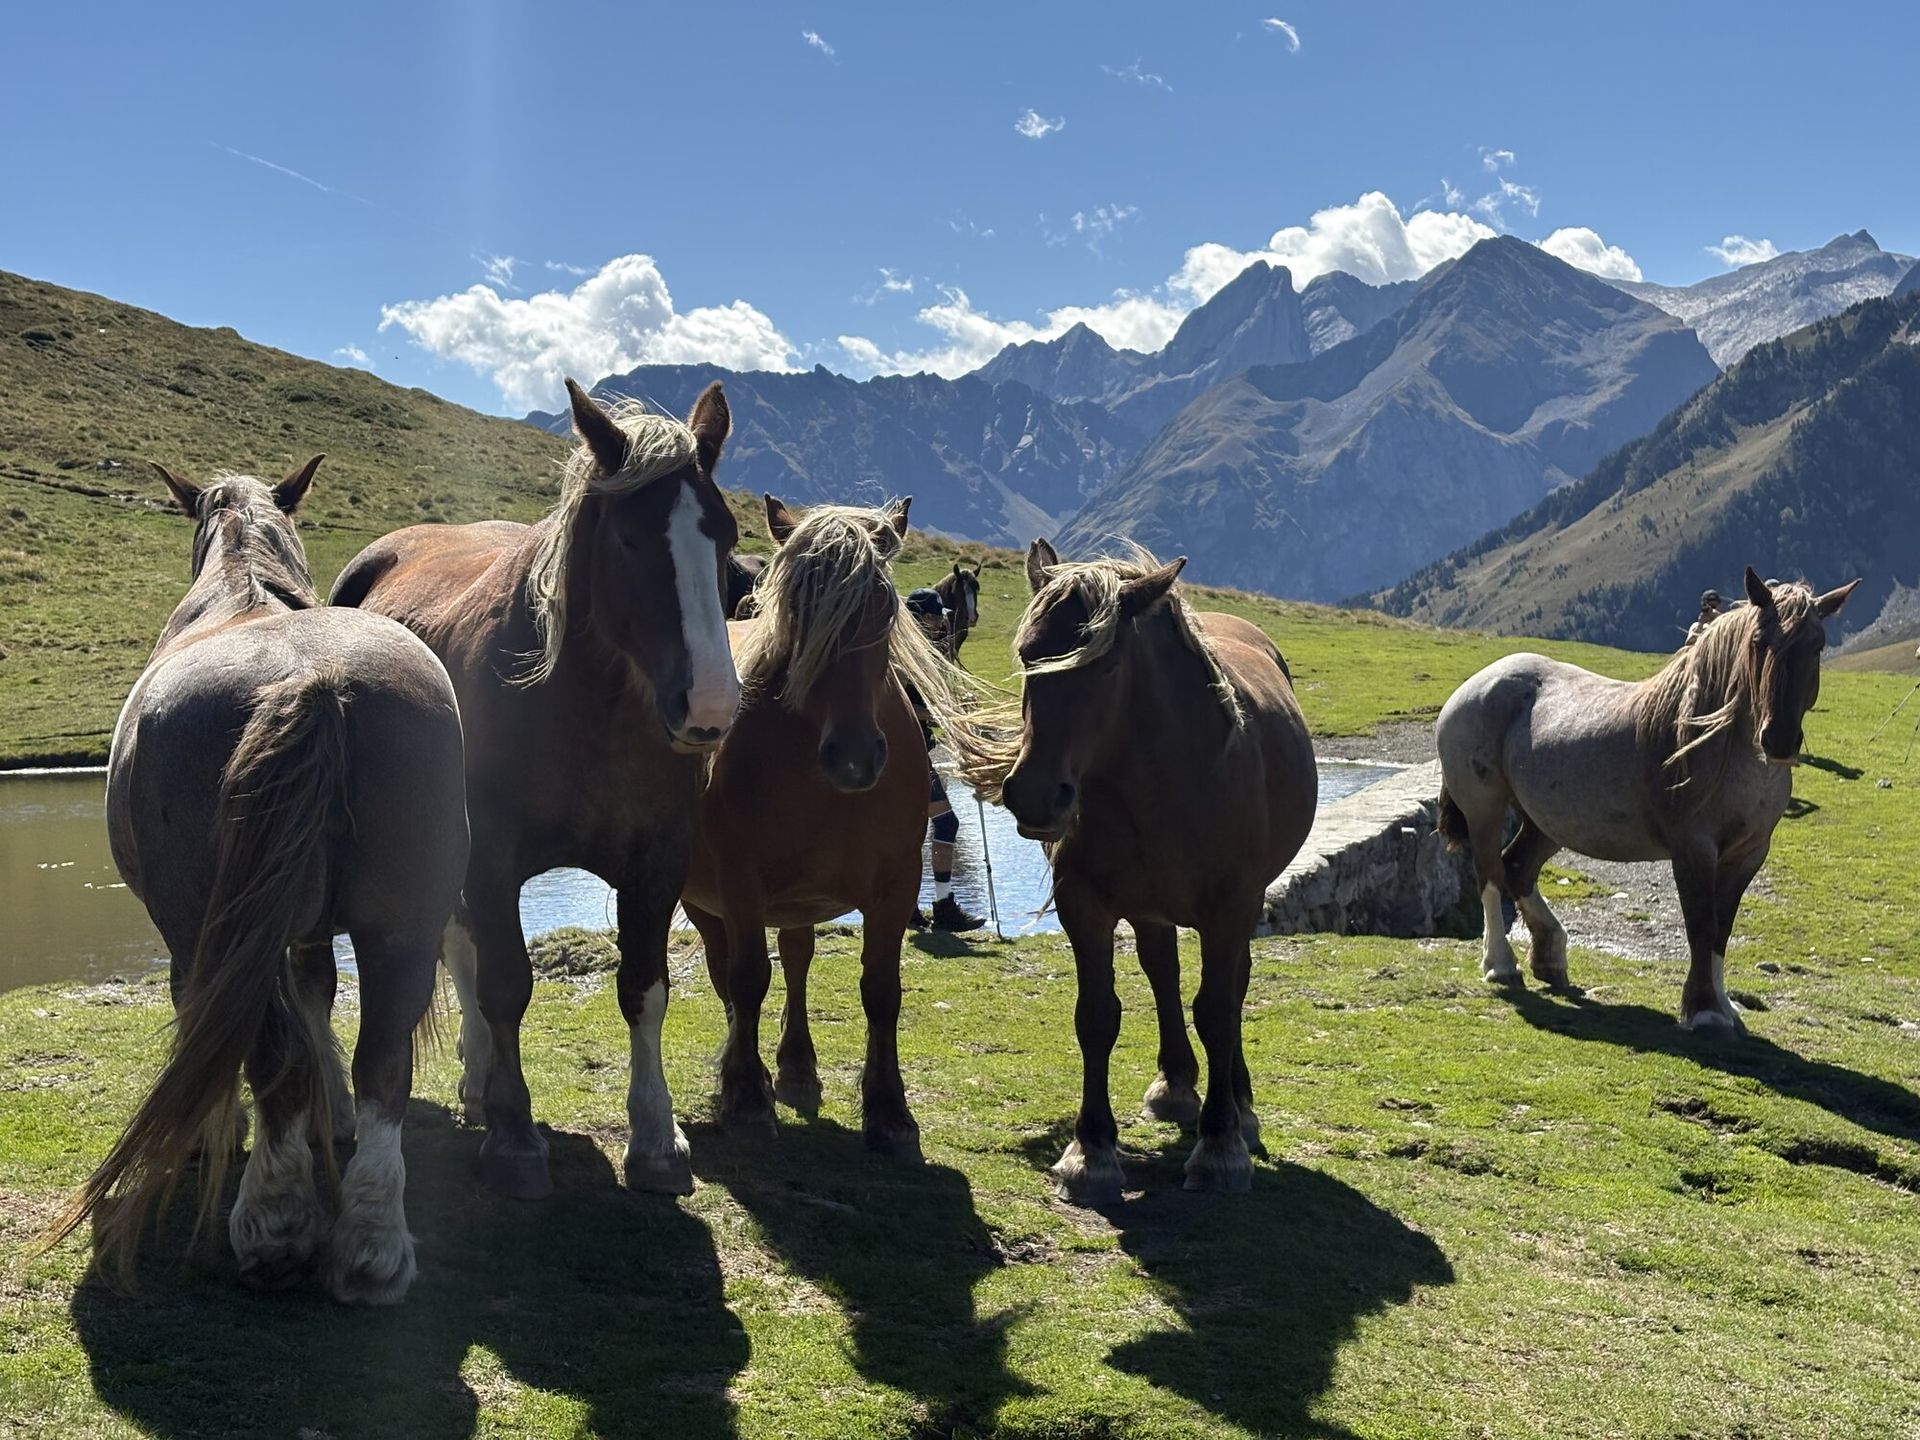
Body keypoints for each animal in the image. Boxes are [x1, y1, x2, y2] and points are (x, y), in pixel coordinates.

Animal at [44, 460, 467, 1304]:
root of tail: (314, 679)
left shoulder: (205, 941)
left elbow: (208, 1015)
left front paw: (215, 1131)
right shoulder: (309, 931)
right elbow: (317, 997)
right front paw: (330, 1116)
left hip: (206, 921)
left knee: (271, 1057)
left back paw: (276, 1224)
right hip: (401, 928)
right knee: (383, 1066)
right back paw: (371, 1245)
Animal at [330, 380, 741, 1199]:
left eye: (727, 538)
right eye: (629, 540)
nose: (710, 707)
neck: (588, 707)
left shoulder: (660, 860)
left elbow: (645, 988)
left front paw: (657, 1138)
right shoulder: (492, 859)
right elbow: (505, 985)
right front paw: (515, 1136)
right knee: (463, 952)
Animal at [682, 495, 978, 1157]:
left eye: (886, 609)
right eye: (798, 607)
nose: (854, 756)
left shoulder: (896, 887)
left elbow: (882, 990)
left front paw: (890, 1111)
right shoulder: (739, 886)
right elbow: (746, 980)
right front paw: (746, 1099)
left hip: (798, 901)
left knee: (796, 959)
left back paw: (796, 1066)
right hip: (703, 900)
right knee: (727, 974)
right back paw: (749, 1076)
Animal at [961, 539, 1318, 1203]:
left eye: (1104, 668)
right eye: (1027, 657)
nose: (1035, 795)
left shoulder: (1231, 907)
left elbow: (1218, 1009)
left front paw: (1220, 1146)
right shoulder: (1084, 904)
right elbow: (1097, 1015)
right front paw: (1091, 1152)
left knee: (1230, 987)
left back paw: (1240, 1104)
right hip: (1153, 909)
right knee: (1162, 972)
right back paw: (1176, 1085)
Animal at [1435, 567, 1859, 1034]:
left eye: (1816, 646)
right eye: (1758, 642)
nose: (1779, 740)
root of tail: (1476, 683)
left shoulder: (1749, 854)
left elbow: (1722, 928)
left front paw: (1724, 1007)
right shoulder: (1694, 849)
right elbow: (1701, 924)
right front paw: (1703, 1009)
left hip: (1548, 822)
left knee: (1517, 868)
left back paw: (1550, 956)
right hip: (1485, 809)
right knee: (1491, 875)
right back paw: (1500, 964)